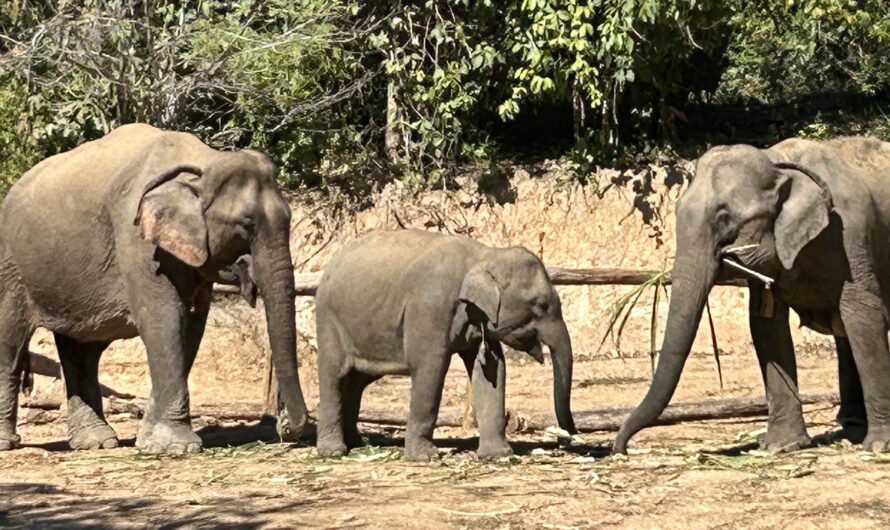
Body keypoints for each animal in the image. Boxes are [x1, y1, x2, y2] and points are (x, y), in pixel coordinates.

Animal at [0, 123, 308, 453]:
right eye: (246, 224)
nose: (282, 425)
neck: (203, 162)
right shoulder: (136, 240)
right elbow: (164, 318)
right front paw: (177, 447)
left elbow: (192, 325)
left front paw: (151, 440)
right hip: (11, 267)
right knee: (11, 343)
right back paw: (11, 443)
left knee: (81, 350)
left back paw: (98, 443)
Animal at [313, 229, 576, 461]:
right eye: (541, 304)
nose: (568, 437)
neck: (484, 255)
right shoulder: (430, 308)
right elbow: (431, 368)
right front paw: (424, 457)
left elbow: (492, 371)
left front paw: (499, 455)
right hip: (328, 319)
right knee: (334, 375)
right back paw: (332, 451)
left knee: (357, 381)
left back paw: (357, 444)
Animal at [614, 136, 890, 454]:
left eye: (725, 219)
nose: (621, 448)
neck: (778, 160)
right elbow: (766, 324)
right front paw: (779, 447)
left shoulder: (851, 236)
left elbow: (864, 316)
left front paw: (878, 446)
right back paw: (851, 426)